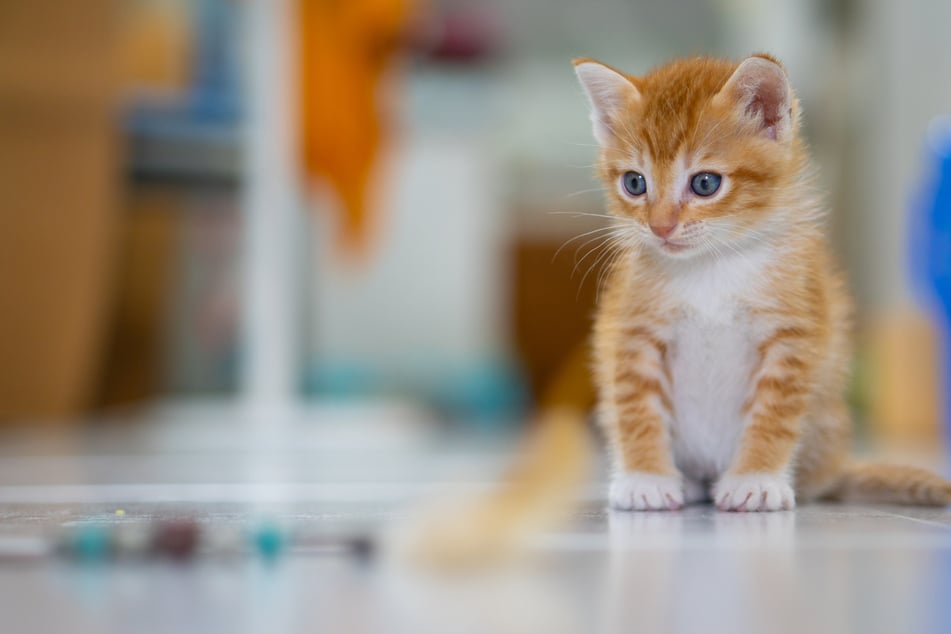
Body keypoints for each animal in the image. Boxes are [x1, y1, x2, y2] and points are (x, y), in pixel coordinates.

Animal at [572, 53, 951, 508]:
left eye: (705, 183)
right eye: (634, 182)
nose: (660, 227)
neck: (712, 266)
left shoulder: (793, 333)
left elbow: (774, 413)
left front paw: (756, 477)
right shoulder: (633, 330)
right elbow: (635, 406)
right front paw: (646, 477)